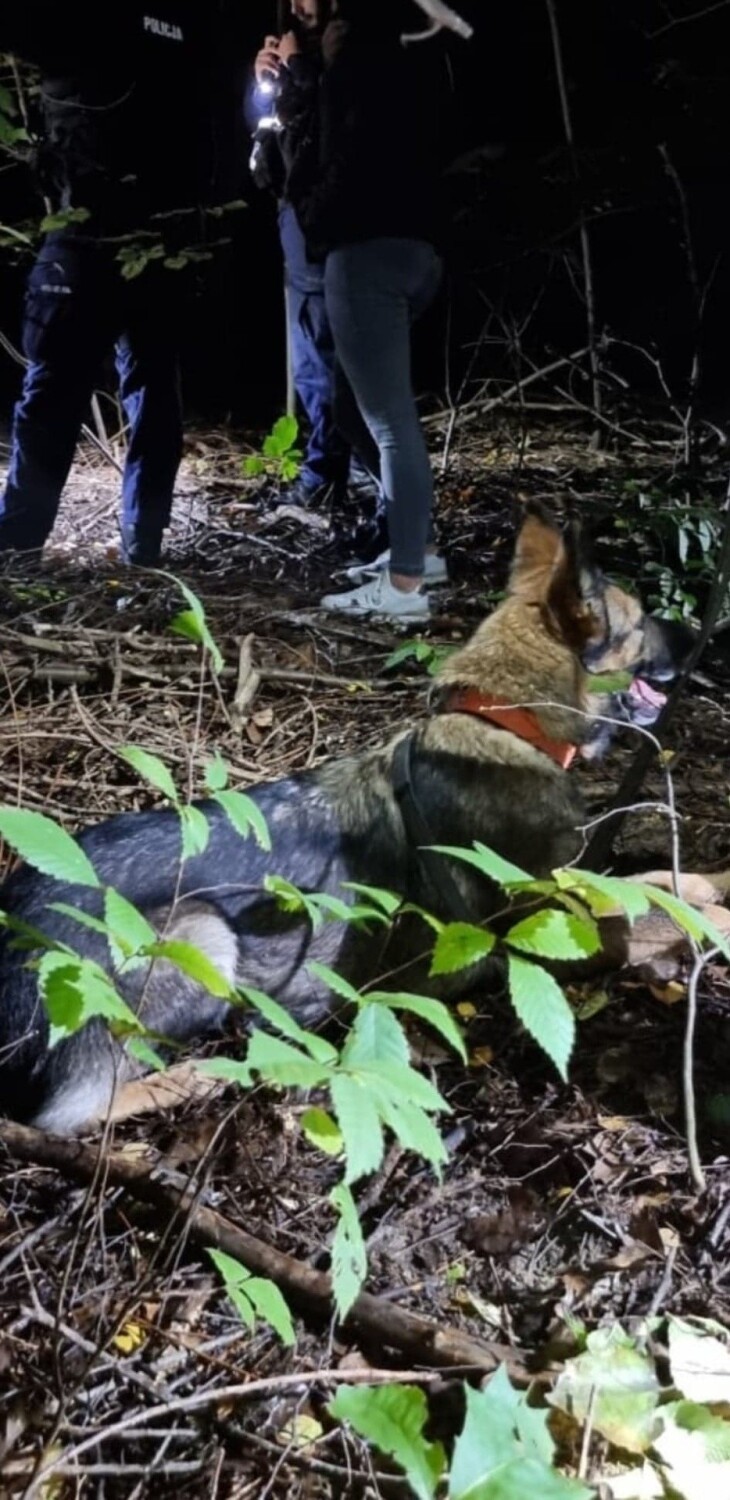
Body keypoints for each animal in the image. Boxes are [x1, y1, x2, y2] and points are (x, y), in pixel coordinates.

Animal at [0, 510, 692, 1128]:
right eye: (638, 623)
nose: (689, 635)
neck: (505, 720)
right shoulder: (569, 931)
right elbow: (664, 913)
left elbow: (662, 884)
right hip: (201, 933)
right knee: (80, 1110)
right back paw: (203, 1076)